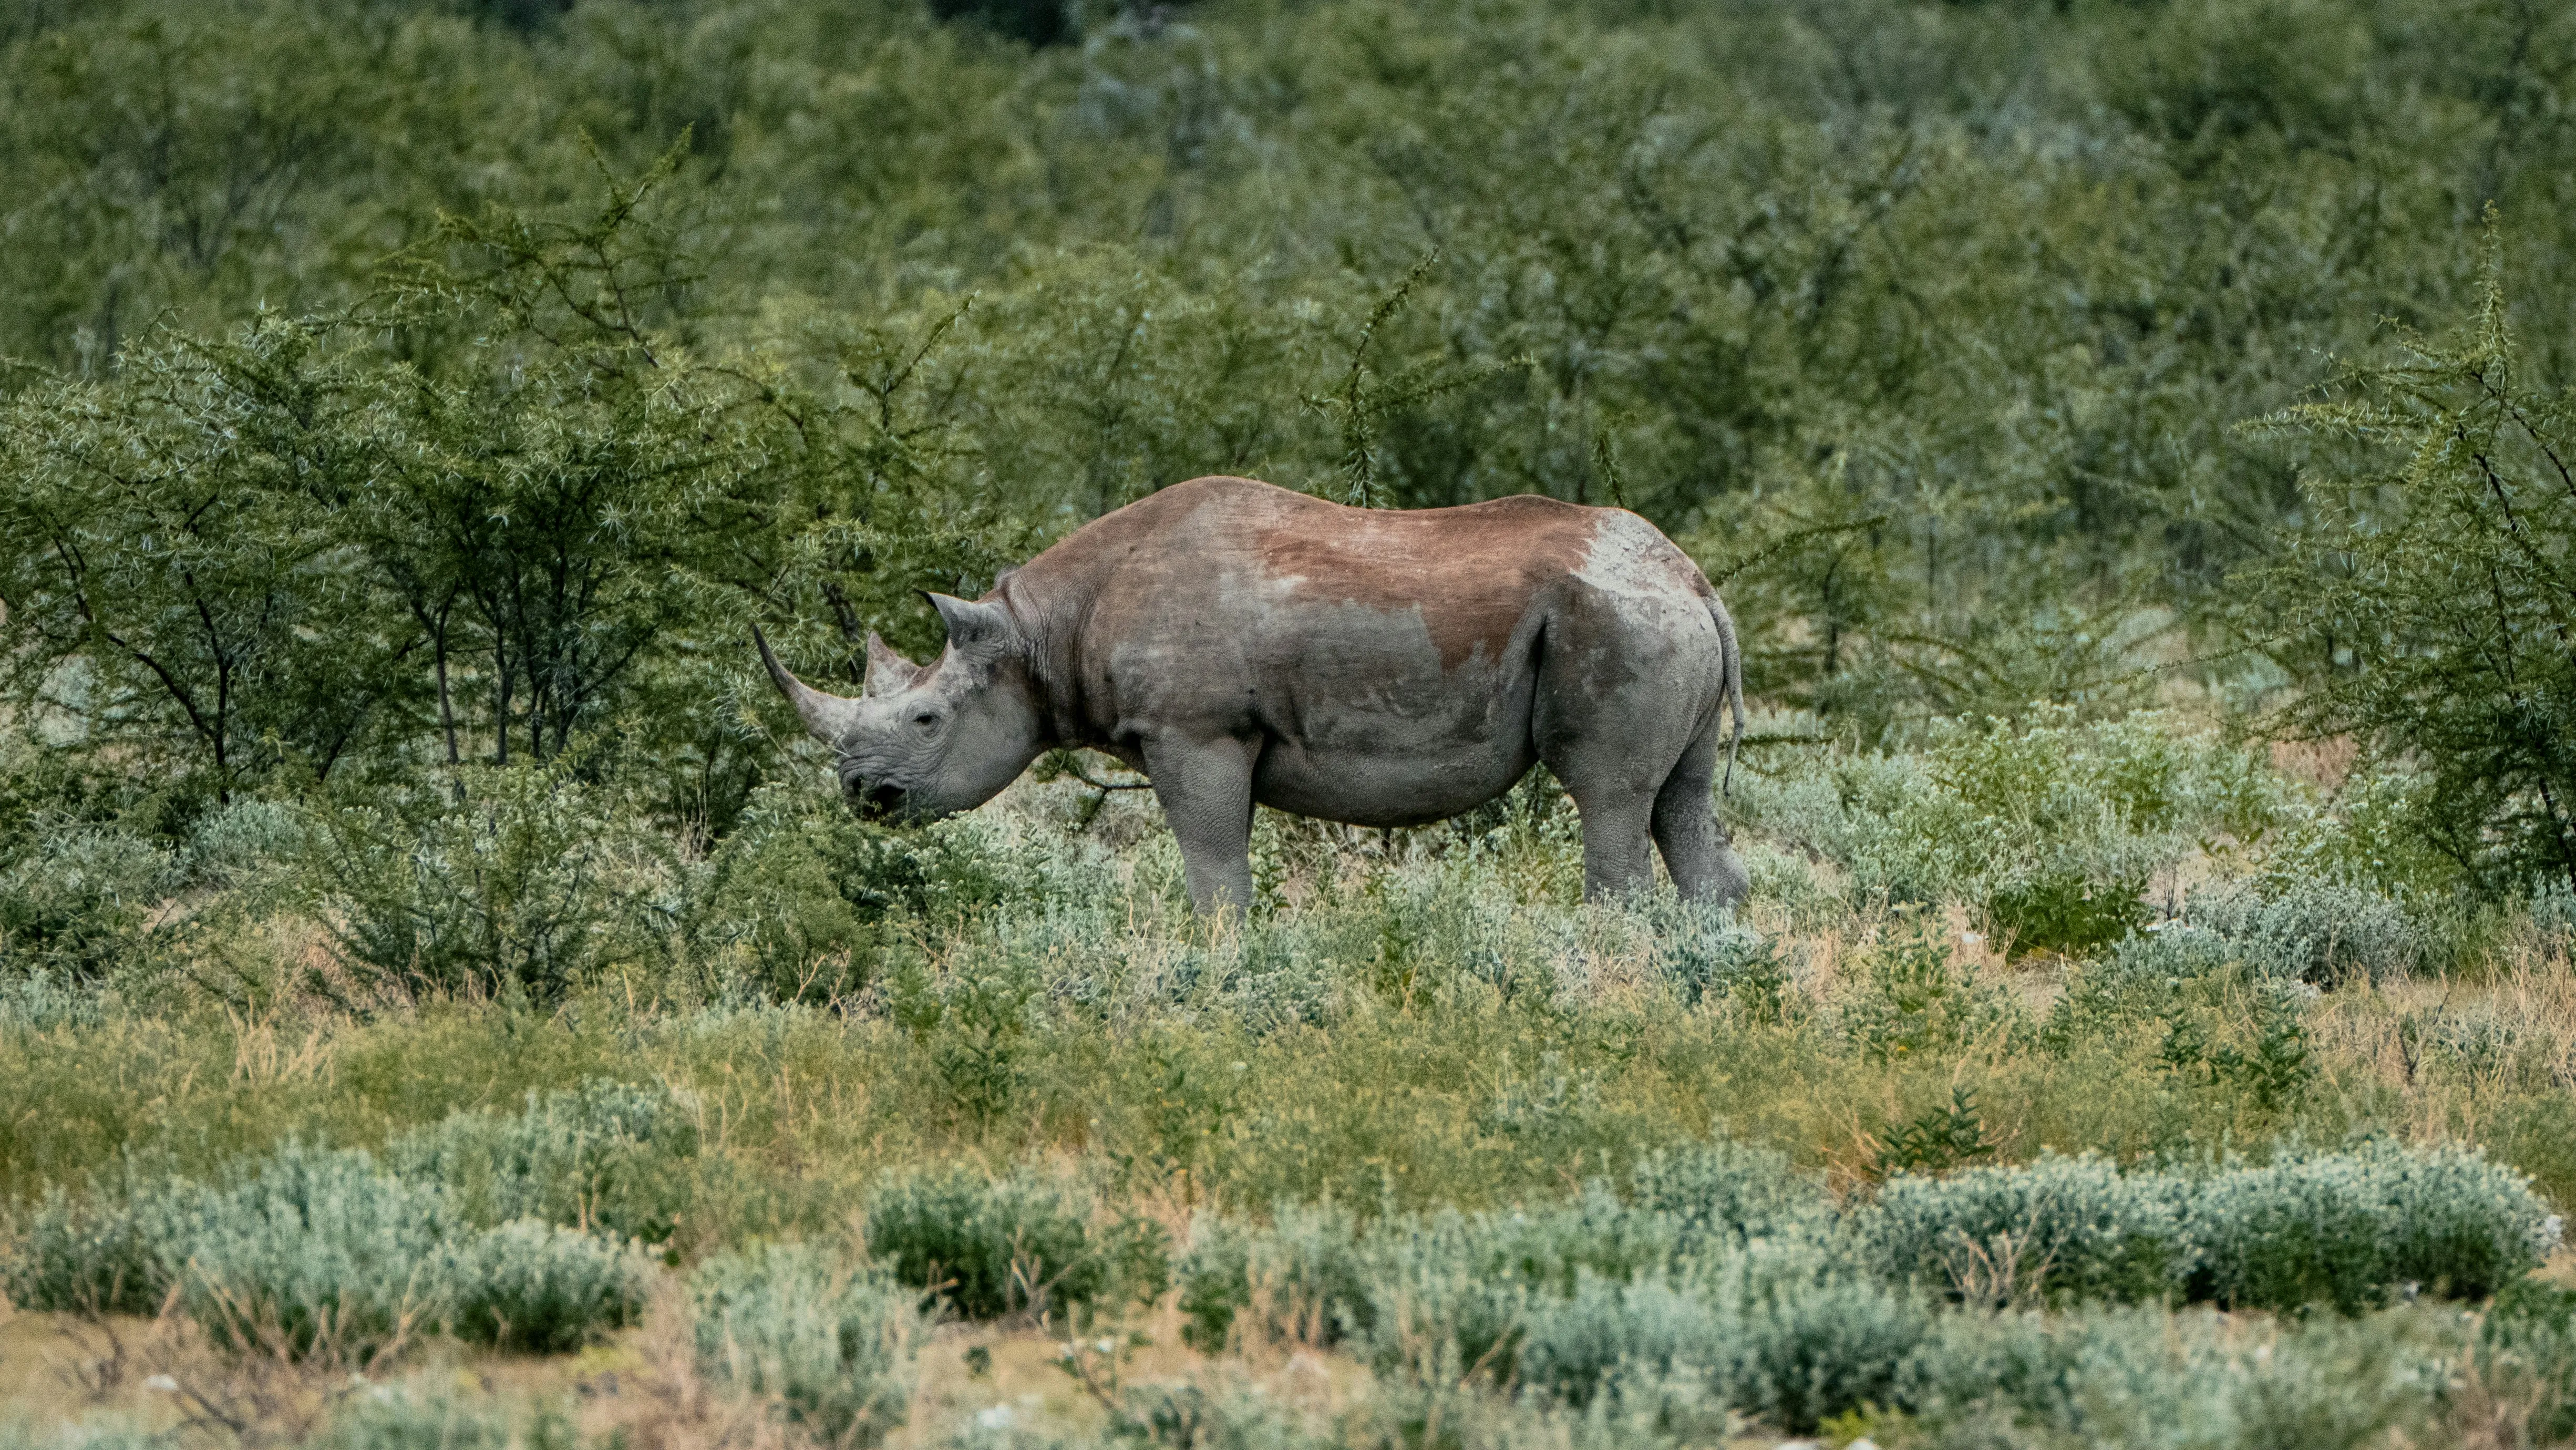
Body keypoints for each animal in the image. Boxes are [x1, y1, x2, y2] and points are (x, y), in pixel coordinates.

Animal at [756, 475, 1749, 913]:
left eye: (925, 718)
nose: (863, 795)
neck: (1039, 631)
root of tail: (1695, 580)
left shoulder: (1194, 730)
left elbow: (1213, 870)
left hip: (1619, 620)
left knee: (1608, 797)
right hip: (1654, 619)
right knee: (1681, 799)